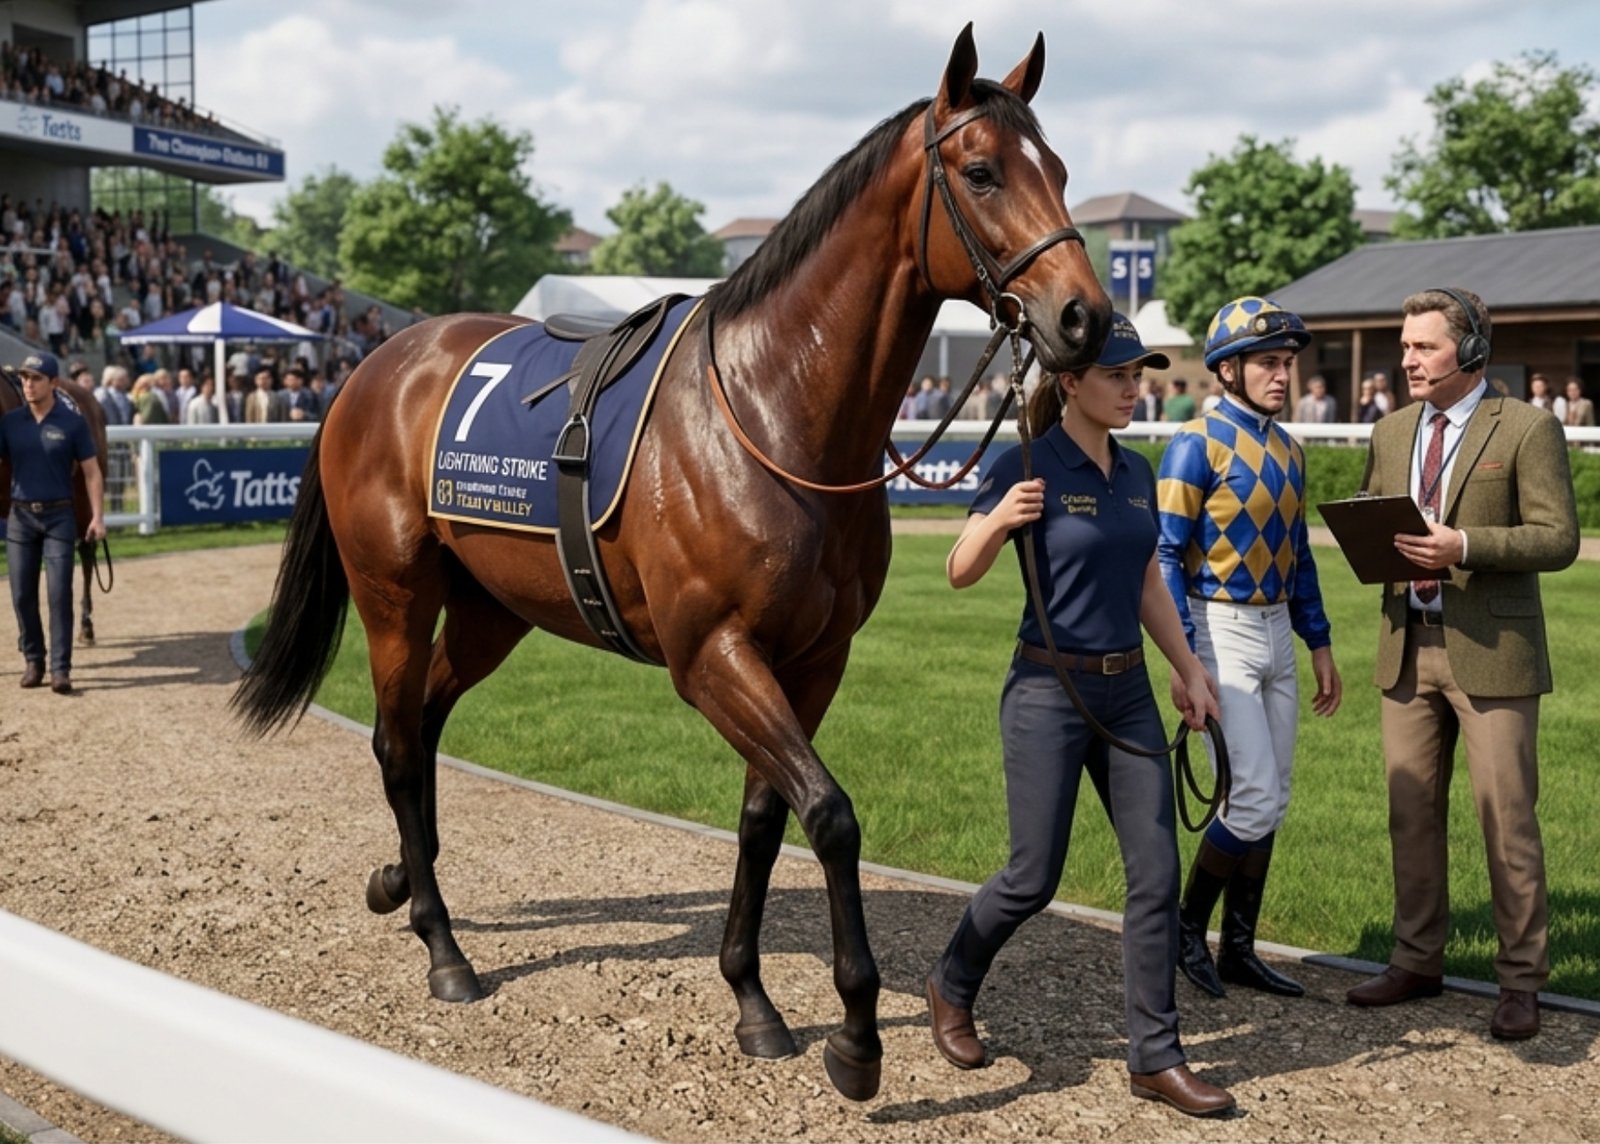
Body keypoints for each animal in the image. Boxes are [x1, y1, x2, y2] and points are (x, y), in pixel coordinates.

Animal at [234, 25, 1111, 1101]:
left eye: (1059, 170)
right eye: (982, 170)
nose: (1087, 320)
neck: (773, 411)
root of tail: (372, 366)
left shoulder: (811, 661)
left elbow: (765, 818)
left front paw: (752, 997)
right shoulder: (712, 657)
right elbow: (830, 814)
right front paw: (856, 1032)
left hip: (491, 610)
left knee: (425, 723)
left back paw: (403, 876)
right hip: (395, 594)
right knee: (397, 743)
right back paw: (443, 948)